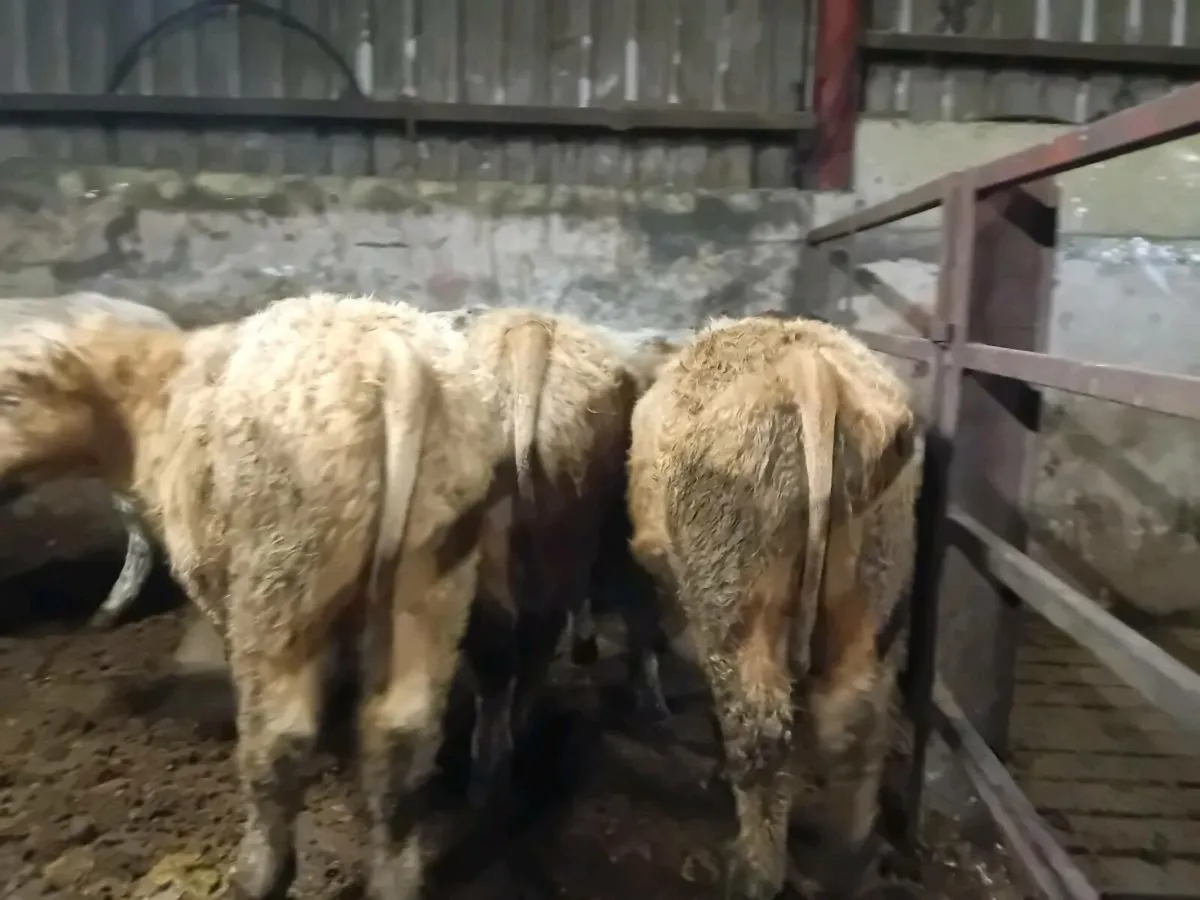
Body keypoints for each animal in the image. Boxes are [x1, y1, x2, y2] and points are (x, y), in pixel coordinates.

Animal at [625, 313, 919, 900]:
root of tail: (811, 367)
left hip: (731, 597)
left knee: (758, 730)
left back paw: (753, 871)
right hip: (874, 595)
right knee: (855, 722)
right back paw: (845, 865)